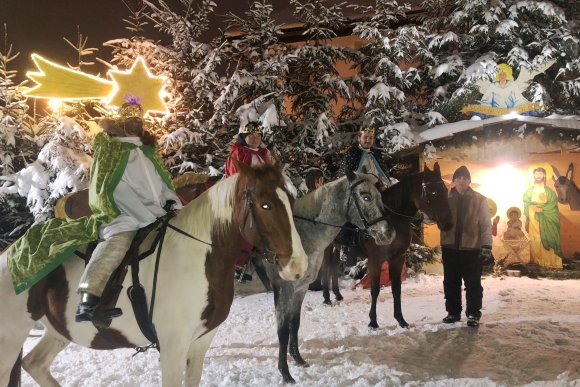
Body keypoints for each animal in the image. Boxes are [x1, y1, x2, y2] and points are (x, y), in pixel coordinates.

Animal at [0, 163, 308, 387]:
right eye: (266, 205)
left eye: (291, 200)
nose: (299, 265)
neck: (195, 257)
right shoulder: (173, 348)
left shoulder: (199, 345)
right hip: (9, 340)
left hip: (57, 331)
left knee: (34, 364)